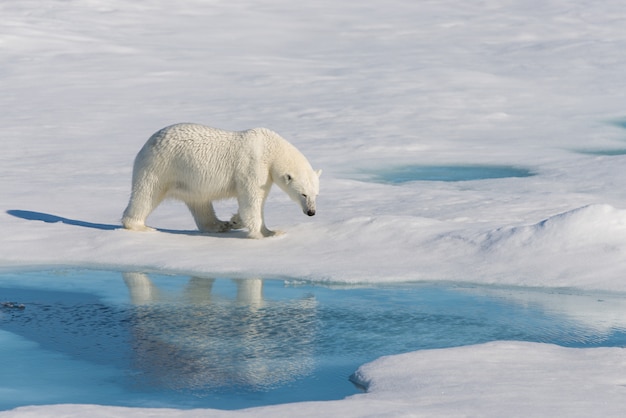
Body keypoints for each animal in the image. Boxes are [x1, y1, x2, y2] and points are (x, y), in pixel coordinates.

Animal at [120, 122, 322, 238]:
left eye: (316, 194)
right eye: (303, 194)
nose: (311, 212)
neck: (270, 148)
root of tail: (148, 142)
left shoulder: (266, 175)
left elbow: (258, 200)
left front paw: (237, 222)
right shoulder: (253, 166)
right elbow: (251, 200)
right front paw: (265, 234)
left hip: (188, 179)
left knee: (200, 203)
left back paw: (220, 225)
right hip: (161, 167)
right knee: (147, 194)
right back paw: (141, 226)